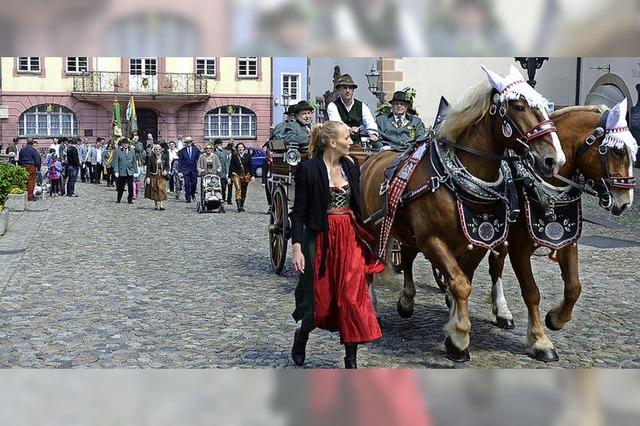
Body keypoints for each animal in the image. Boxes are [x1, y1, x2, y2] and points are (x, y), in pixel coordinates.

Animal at [360, 65, 564, 362]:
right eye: (518, 106)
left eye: (546, 106)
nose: (554, 160)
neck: (456, 180)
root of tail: (375, 154)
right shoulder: (432, 240)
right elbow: (459, 284)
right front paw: (459, 338)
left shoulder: (477, 241)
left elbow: (463, 282)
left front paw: (454, 329)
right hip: (375, 229)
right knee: (370, 261)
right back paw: (372, 307)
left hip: (406, 230)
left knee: (407, 257)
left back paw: (407, 300)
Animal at [482, 101, 636, 362]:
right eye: (617, 152)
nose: (625, 202)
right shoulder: (518, 248)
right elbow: (531, 292)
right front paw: (539, 341)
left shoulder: (567, 240)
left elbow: (574, 287)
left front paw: (555, 319)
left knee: (496, 265)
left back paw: (502, 312)